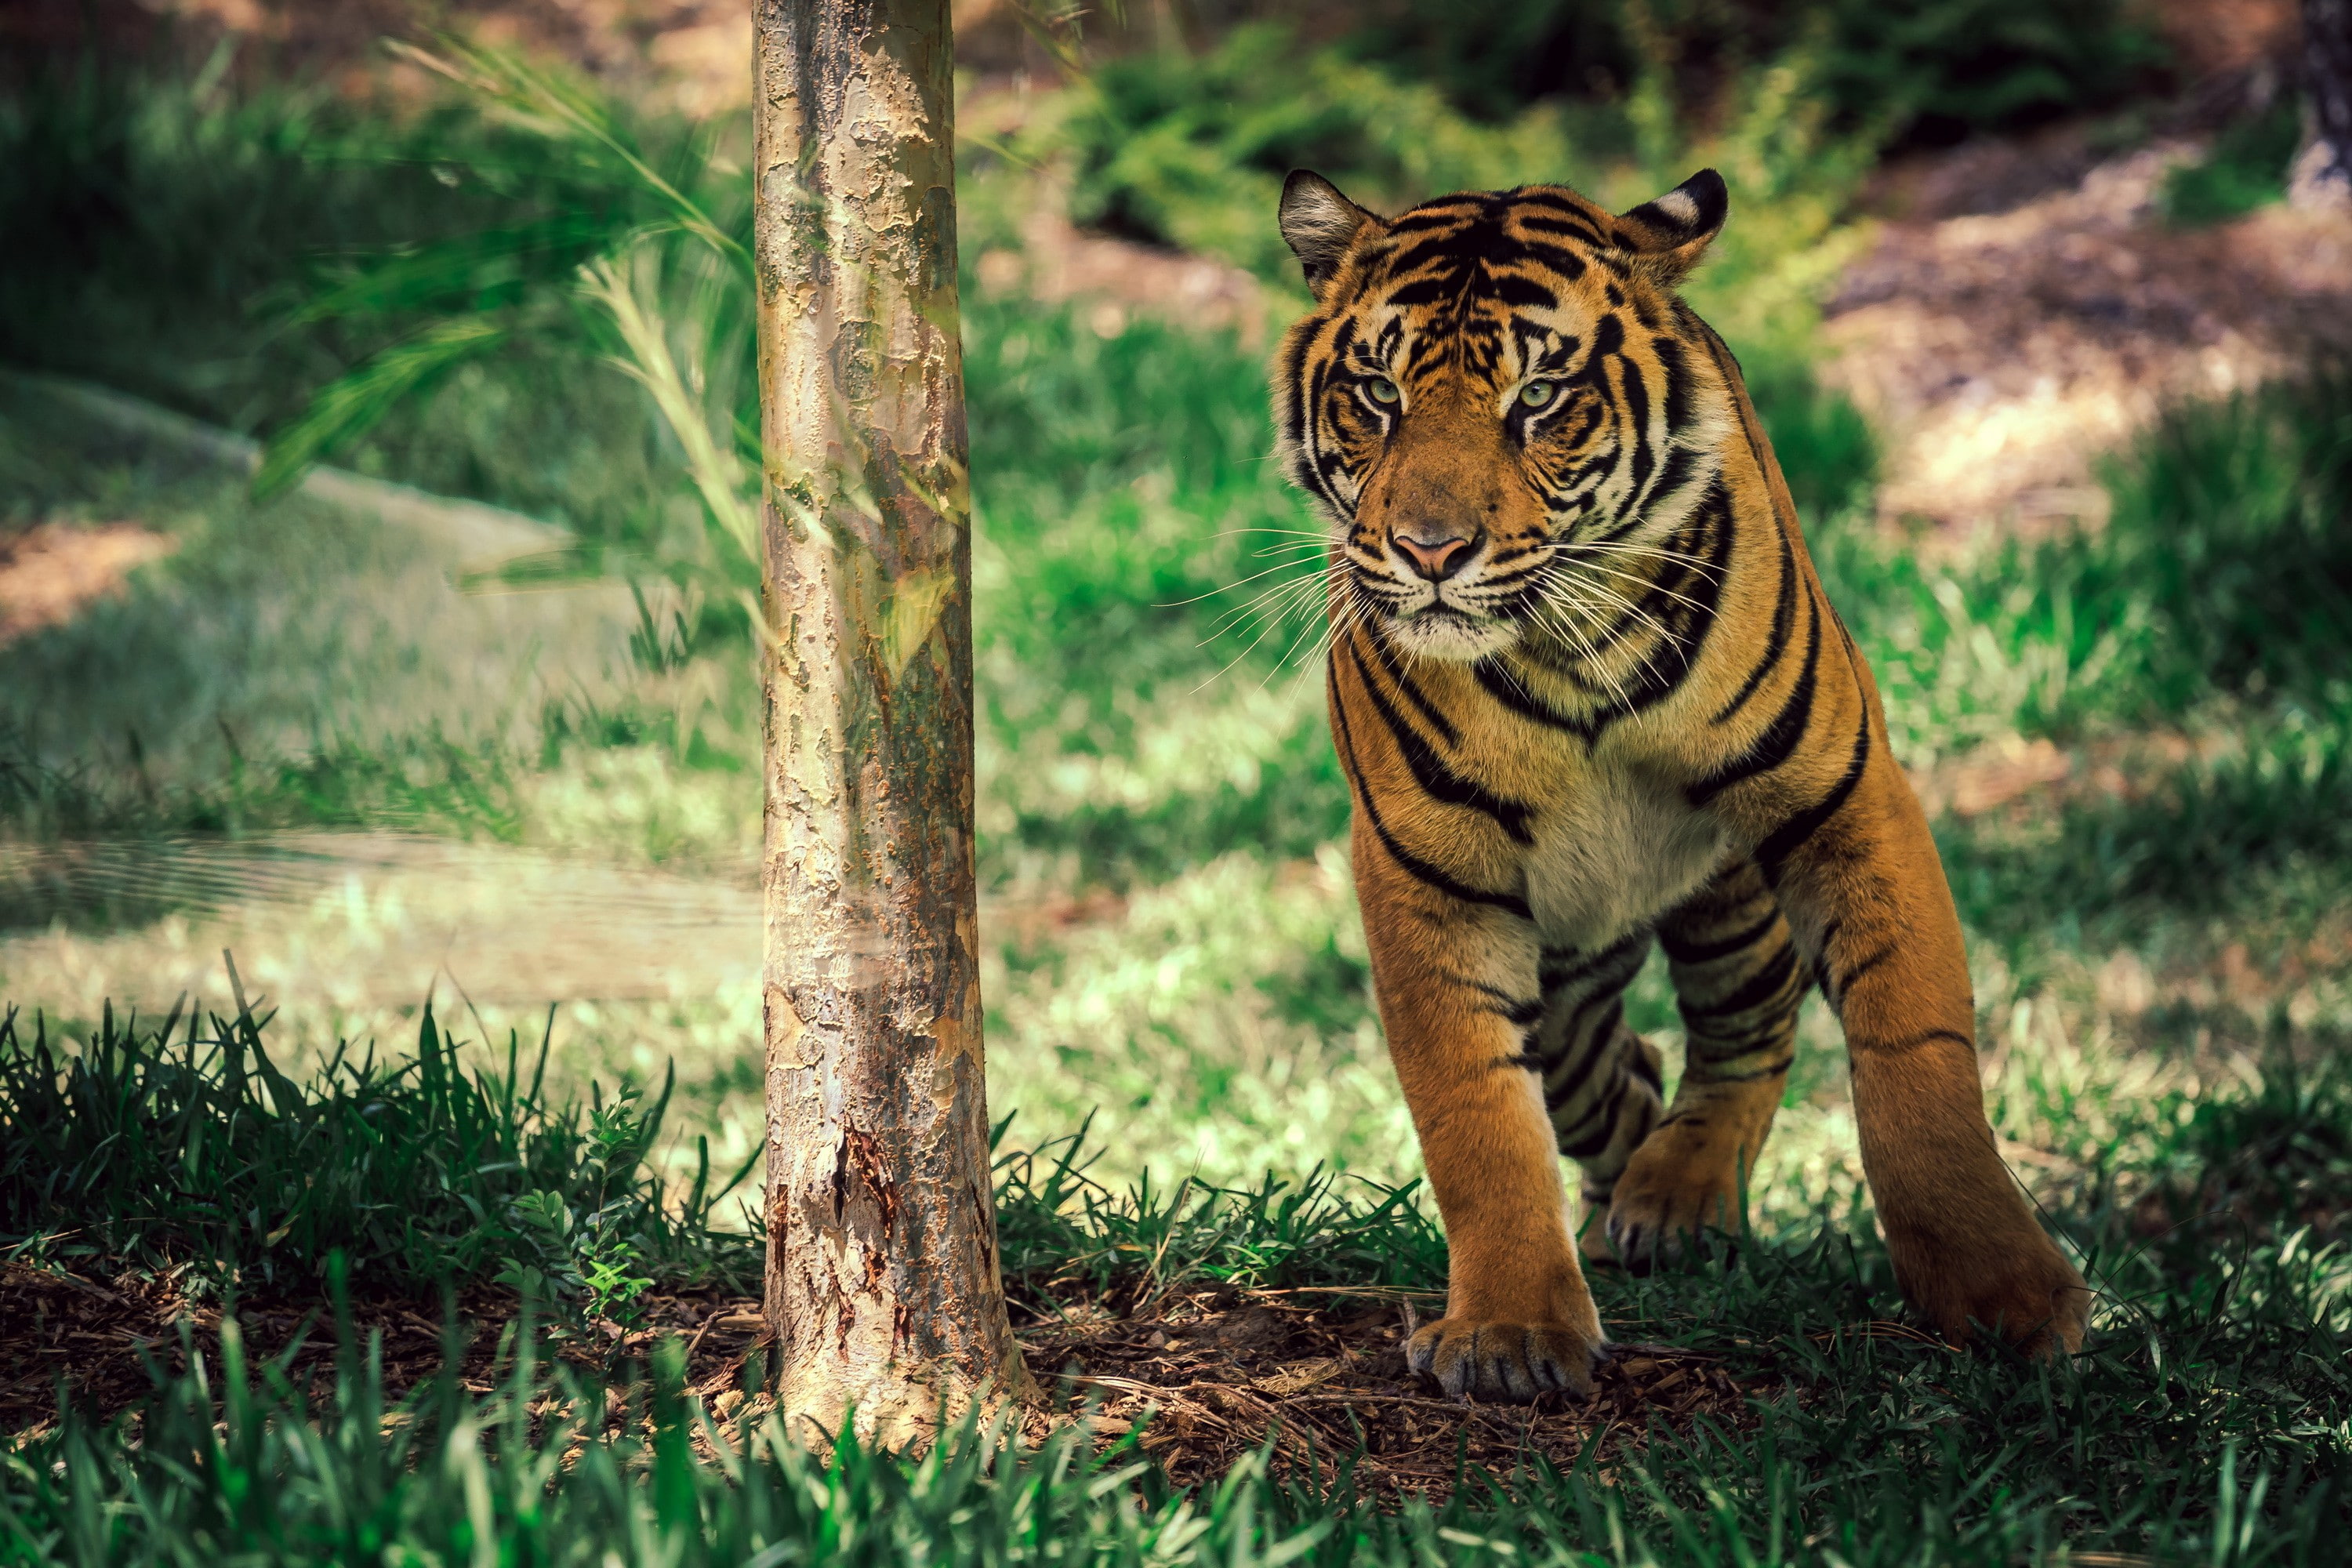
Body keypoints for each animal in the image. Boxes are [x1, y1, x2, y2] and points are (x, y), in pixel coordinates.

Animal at [1271, 167, 2090, 1401]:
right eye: (1378, 393)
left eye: (1539, 397)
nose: (1430, 551)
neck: (1565, 653)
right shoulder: (1429, 873)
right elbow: (1475, 1112)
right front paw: (1512, 1328)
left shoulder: (1845, 795)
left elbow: (1916, 1058)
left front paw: (2007, 1295)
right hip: (1570, 959)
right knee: (1612, 1067)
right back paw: (1625, 1206)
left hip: (1729, 896)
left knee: (1747, 1036)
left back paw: (1677, 1197)